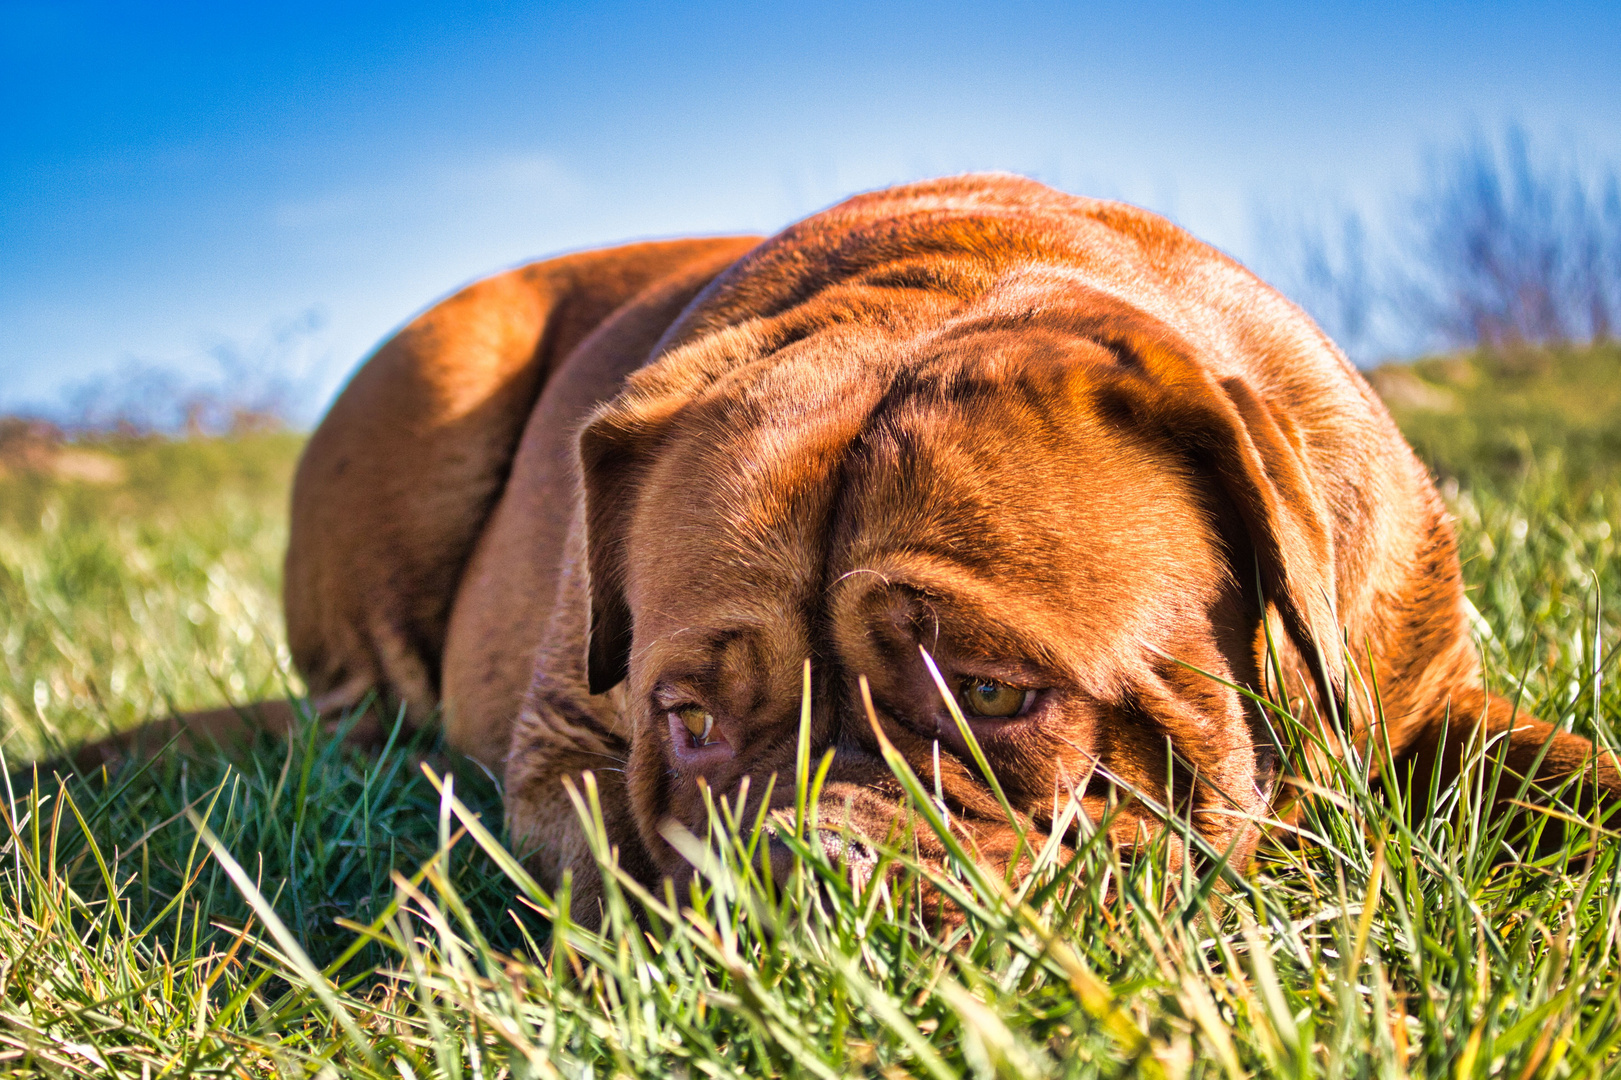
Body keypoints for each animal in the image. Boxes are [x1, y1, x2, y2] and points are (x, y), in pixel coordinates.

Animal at [139, 174, 1621, 908]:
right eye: (685, 719)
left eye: (997, 696)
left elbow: (1570, 779)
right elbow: (612, 845)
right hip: (430, 381)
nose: (806, 862)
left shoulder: (1422, 688)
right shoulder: (567, 744)